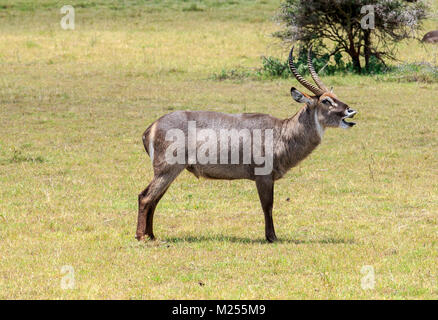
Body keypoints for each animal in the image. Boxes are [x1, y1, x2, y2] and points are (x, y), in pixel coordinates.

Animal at [135, 45, 358, 242]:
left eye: (336, 97)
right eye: (326, 101)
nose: (350, 111)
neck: (281, 132)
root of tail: (151, 128)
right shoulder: (263, 176)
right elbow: (268, 206)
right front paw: (272, 237)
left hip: (169, 171)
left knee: (154, 199)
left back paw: (152, 235)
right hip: (167, 169)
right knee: (145, 197)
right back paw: (141, 237)